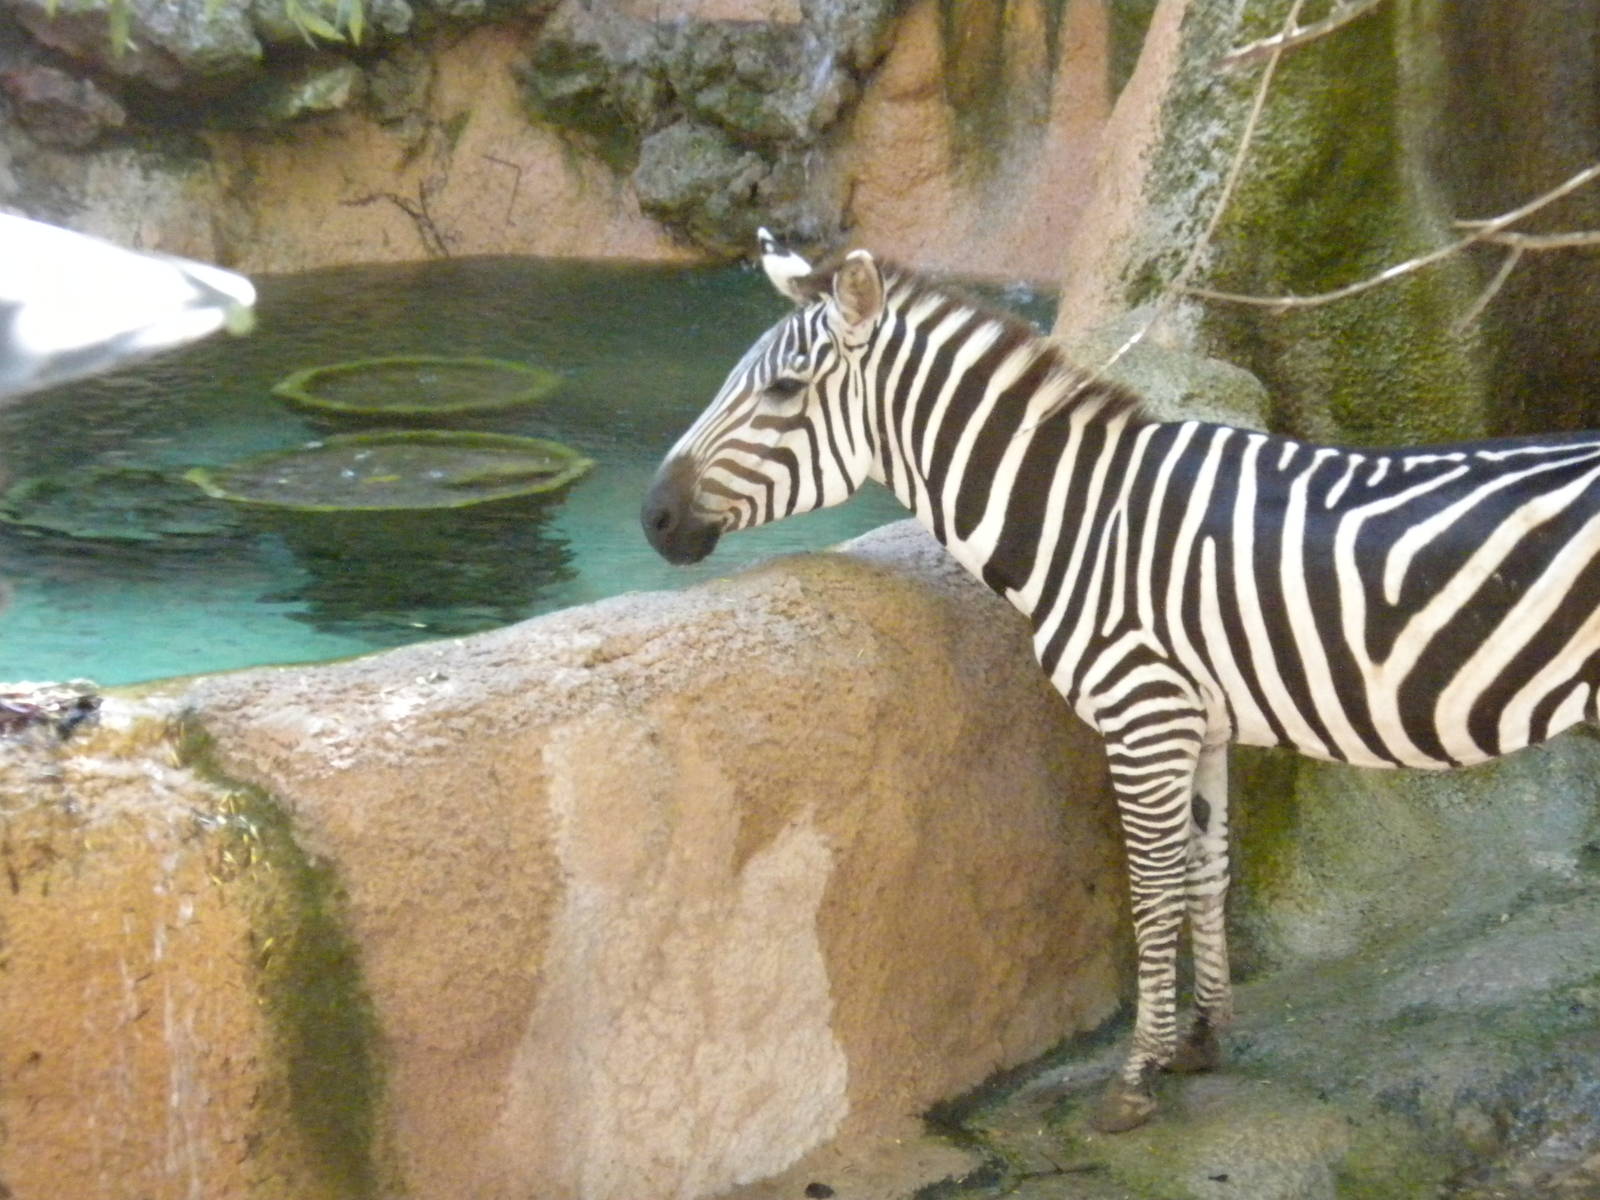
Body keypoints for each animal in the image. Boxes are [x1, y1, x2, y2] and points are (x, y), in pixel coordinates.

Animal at [640, 233, 1600, 1134]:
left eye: (782, 391)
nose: (653, 518)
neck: (1083, 521)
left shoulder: (1145, 715)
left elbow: (1150, 891)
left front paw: (1136, 1079)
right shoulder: (1201, 721)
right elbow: (1205, 872)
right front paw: (1203, 1039)